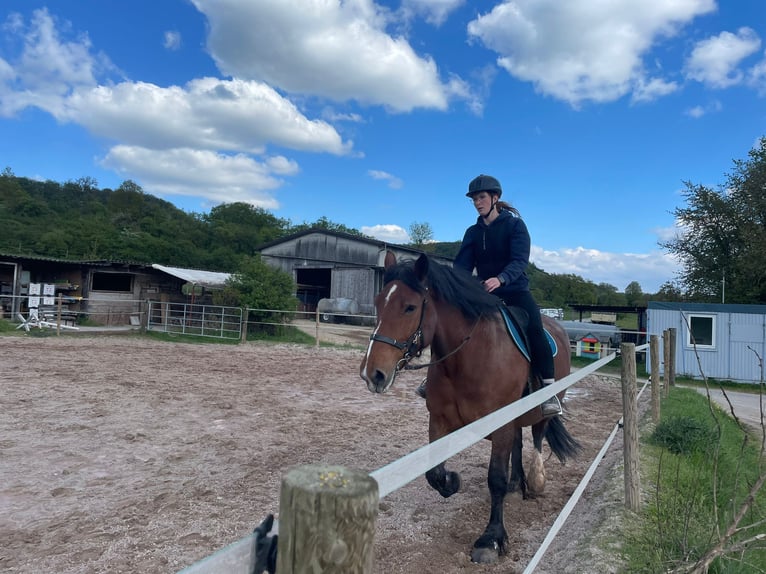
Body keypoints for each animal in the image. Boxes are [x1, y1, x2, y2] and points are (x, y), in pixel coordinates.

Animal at [362, 254, 584, 564]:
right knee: (518, 444)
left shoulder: (500, 425)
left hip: (544, 407)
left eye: (410, 307)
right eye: (378, 303)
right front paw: (452, 481)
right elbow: (434, 473)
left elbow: (495, 478)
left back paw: (535, 481)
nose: (373, 374)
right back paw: (517, 485)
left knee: (538, 438)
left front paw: (491, 539)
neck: (467, 358)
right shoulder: (439, 419)